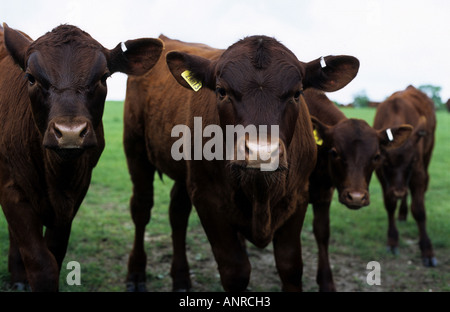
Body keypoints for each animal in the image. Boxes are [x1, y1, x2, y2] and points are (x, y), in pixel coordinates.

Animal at [0, 23, 162, 292]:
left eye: (103, 77)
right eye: (31, 77)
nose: (70, 133)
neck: (55, 174)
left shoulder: (75, 193)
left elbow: (54, 254)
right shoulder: (11, 187)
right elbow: (41, 263)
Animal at [123, 35, 358, 292]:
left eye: (297, 94)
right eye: (221, 91)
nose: (261, 152)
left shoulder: (298, 196)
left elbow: (290, 266)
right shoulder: (207, 199)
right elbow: (235, 270)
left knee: (177, 212)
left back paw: (181, 278)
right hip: (135, 149)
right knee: (142, 208)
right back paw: (136, 273)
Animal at [306, 89, 412, 292]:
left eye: (376, 156)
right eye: (334, 152)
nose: (356, 197)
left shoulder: (323, 195)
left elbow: (322, 232)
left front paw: (326, 282)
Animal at [374, 84, 438, 266]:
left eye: (411, 162)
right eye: (386, 163)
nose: (398, 191)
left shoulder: (418, 172)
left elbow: (419, 210)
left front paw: (427, 250)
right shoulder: (381, 175)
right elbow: (390, 204)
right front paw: (392, 240)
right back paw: (402, 213)